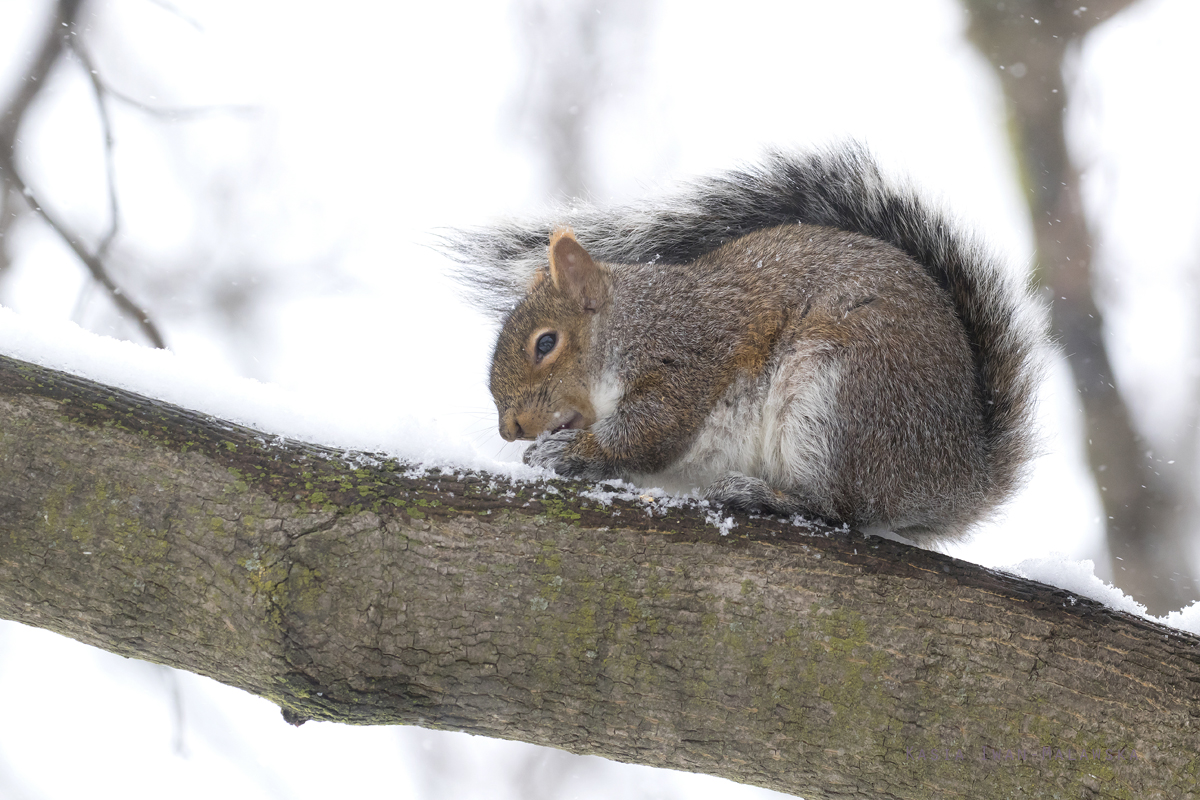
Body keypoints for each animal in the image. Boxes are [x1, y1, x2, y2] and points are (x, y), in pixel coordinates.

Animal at [446, 145, 1046, 544]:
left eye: (545, 343)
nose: (509, 428)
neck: (631, 323)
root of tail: (960, 477)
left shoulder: (684, 356)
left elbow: (648, 432)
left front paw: (566, 452)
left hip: (837, 399)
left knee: (839, 509)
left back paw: (760, 495)